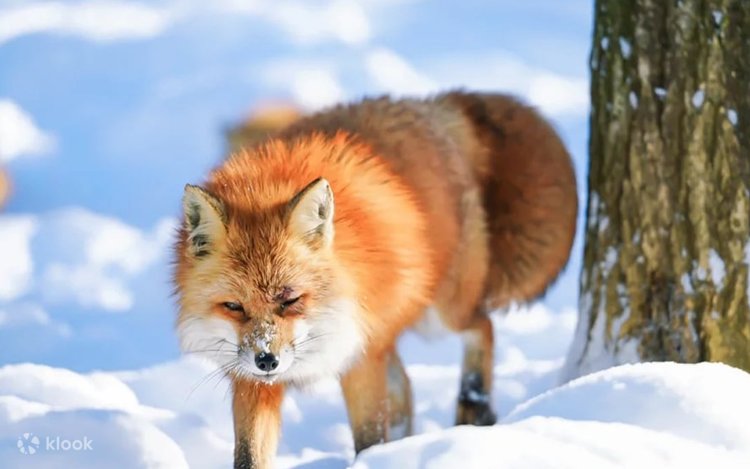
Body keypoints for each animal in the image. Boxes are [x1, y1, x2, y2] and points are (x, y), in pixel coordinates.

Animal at [172, 90, 577, 469]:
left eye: (290, 300)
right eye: (234, 307)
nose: (267, 360)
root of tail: (431, 103)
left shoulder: (359, 355)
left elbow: (367, 437)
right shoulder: (250, 380)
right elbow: (249, 456)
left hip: (440, 314)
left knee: (482, 326)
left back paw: (473, 405)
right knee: (406, 388)